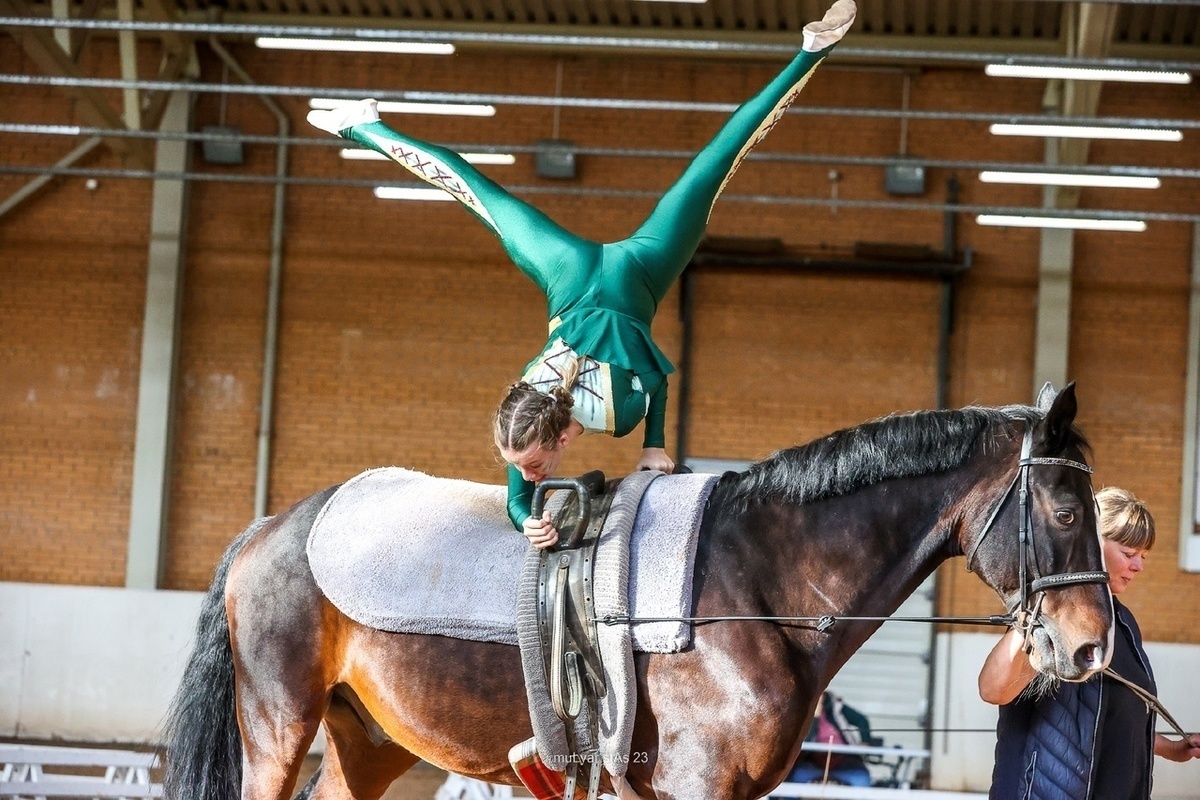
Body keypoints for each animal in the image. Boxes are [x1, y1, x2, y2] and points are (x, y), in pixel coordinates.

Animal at [164, 383, 1108, 800]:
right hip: (278, 731)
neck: (753, 582)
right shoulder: (693, 787)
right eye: (1066, 508)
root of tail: (275, 527)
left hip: (376, 748)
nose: (1091, 643)